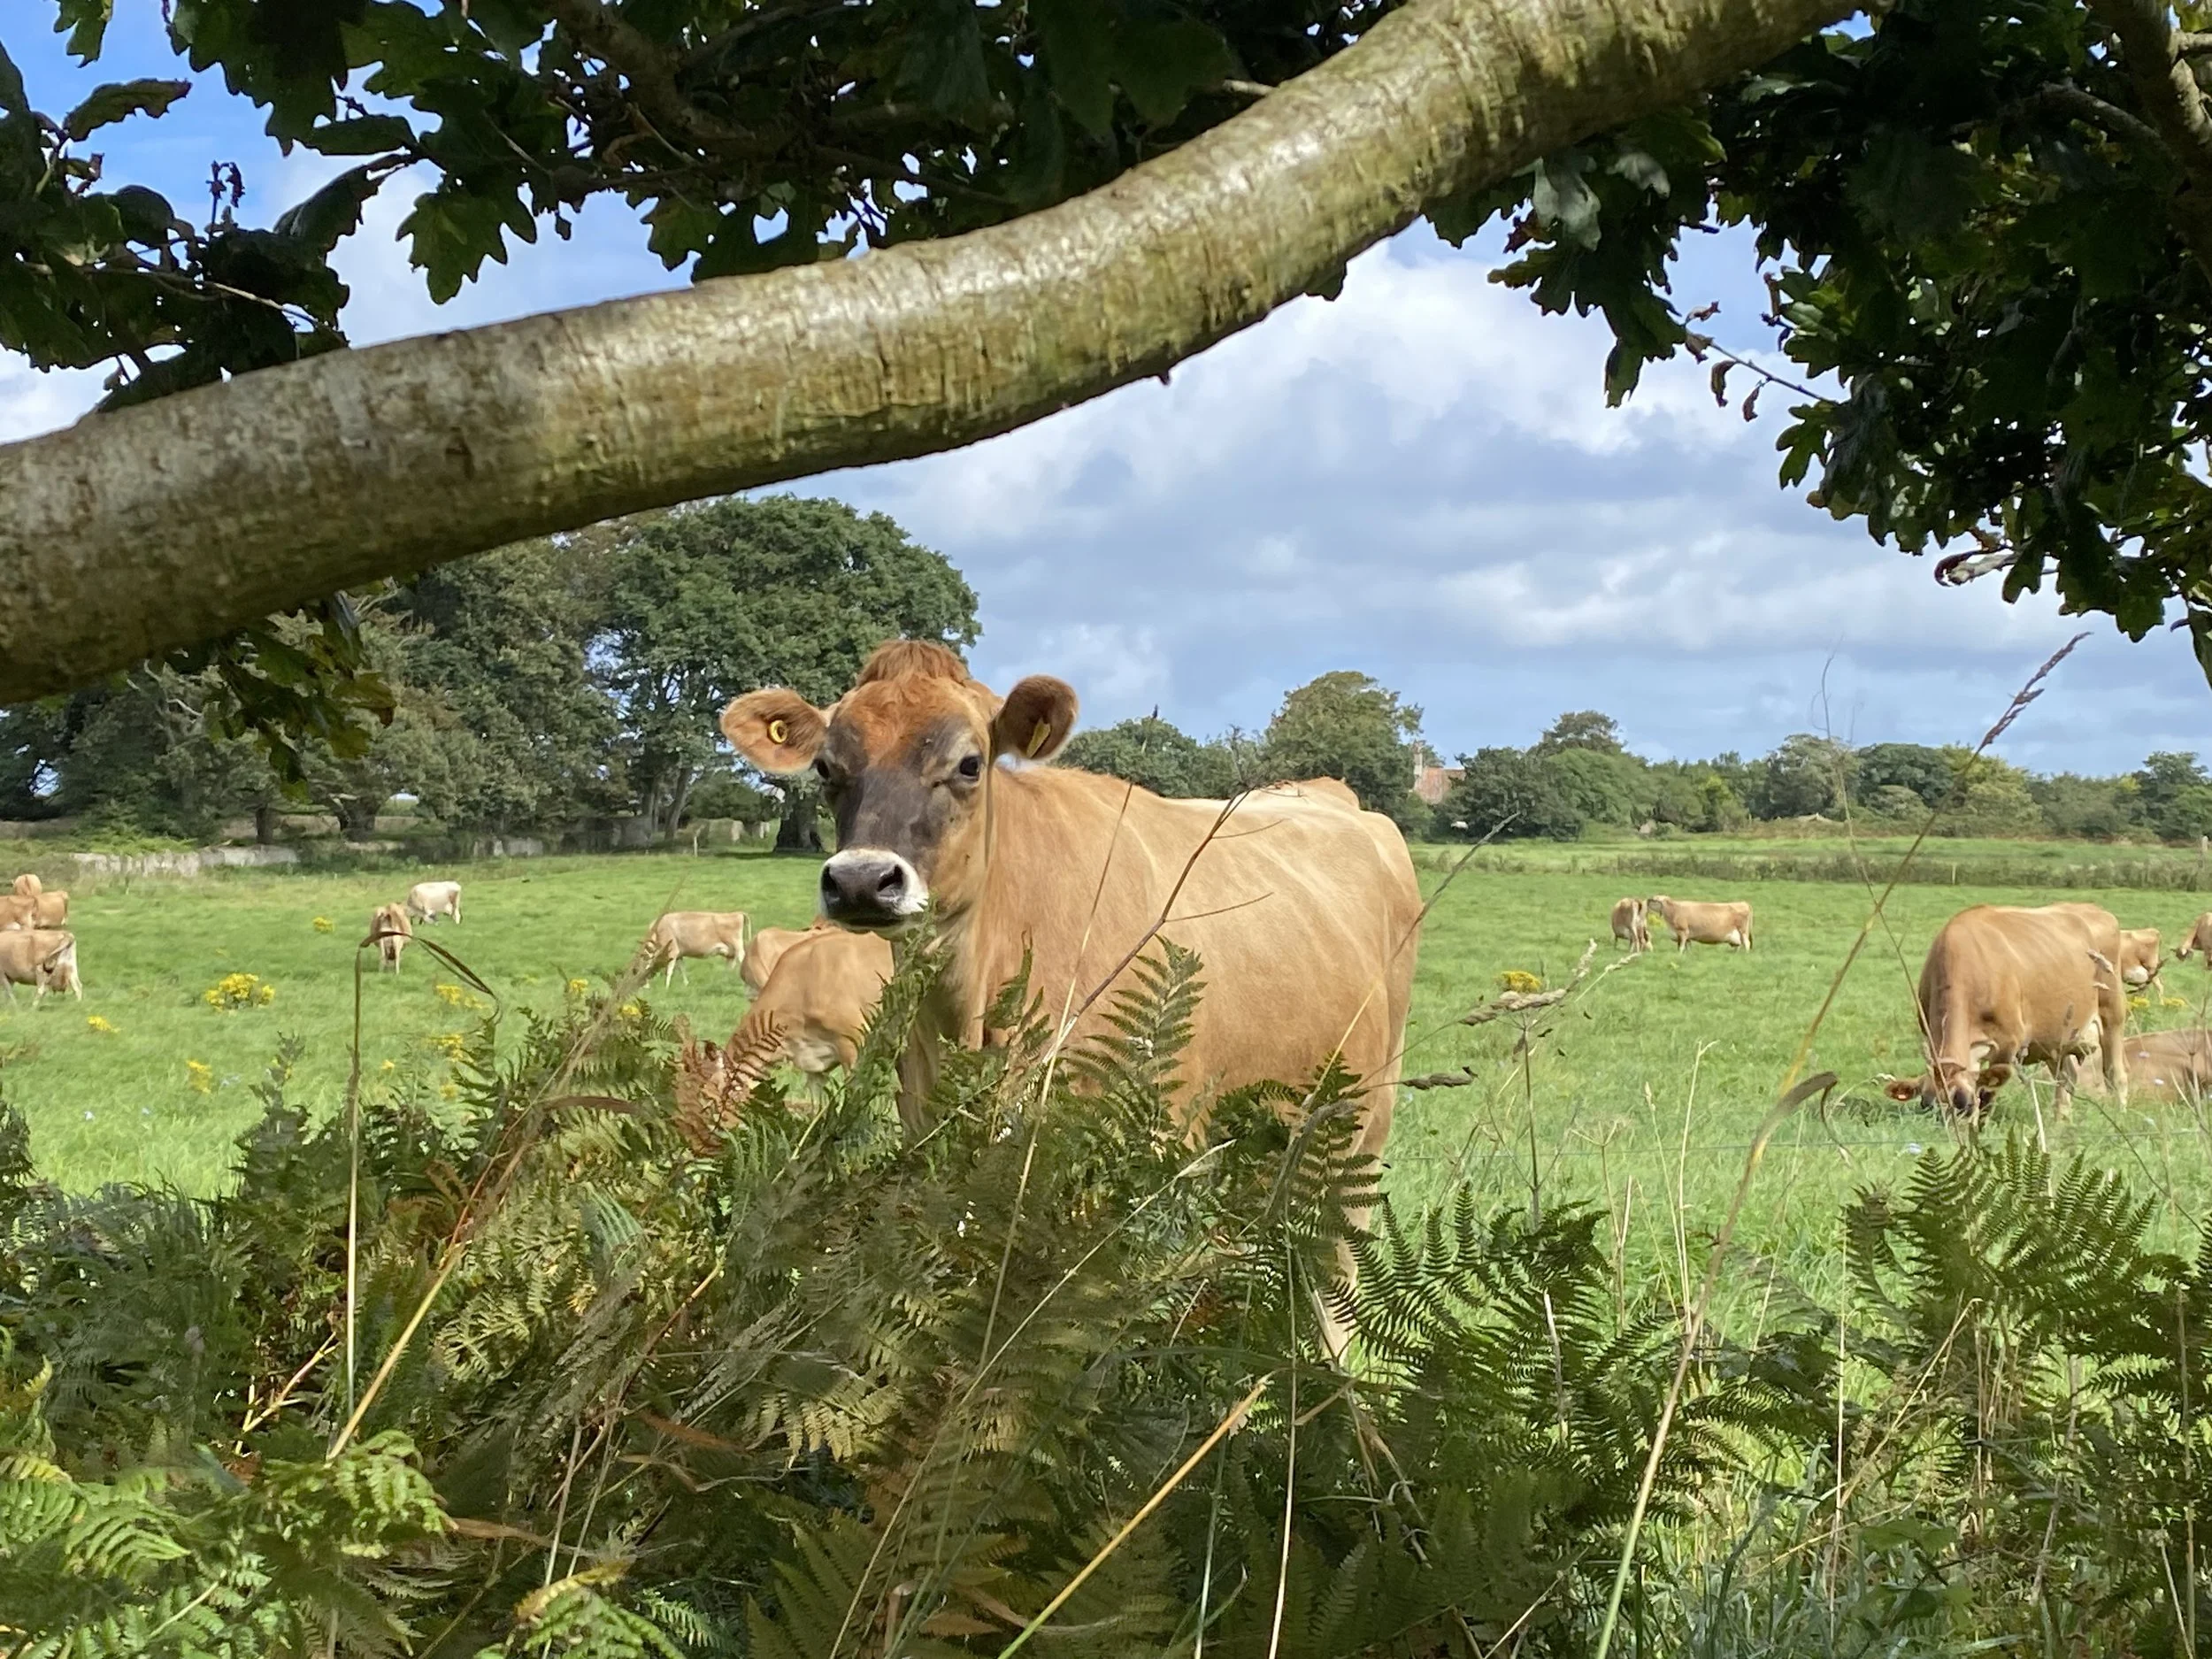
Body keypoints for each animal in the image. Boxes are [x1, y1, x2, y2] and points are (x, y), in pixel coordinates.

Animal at [1884, 902, 2128, 1119]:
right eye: (1926, 1105)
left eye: (1965, 1104)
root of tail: (2096, 910)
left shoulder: (2008, 1045)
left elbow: (1986, 1097)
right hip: (2054, 1035)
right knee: (2066, 1077)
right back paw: (2060, 1121)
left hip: (2112, 1012)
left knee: (2114, 1072)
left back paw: (2120, 1113)